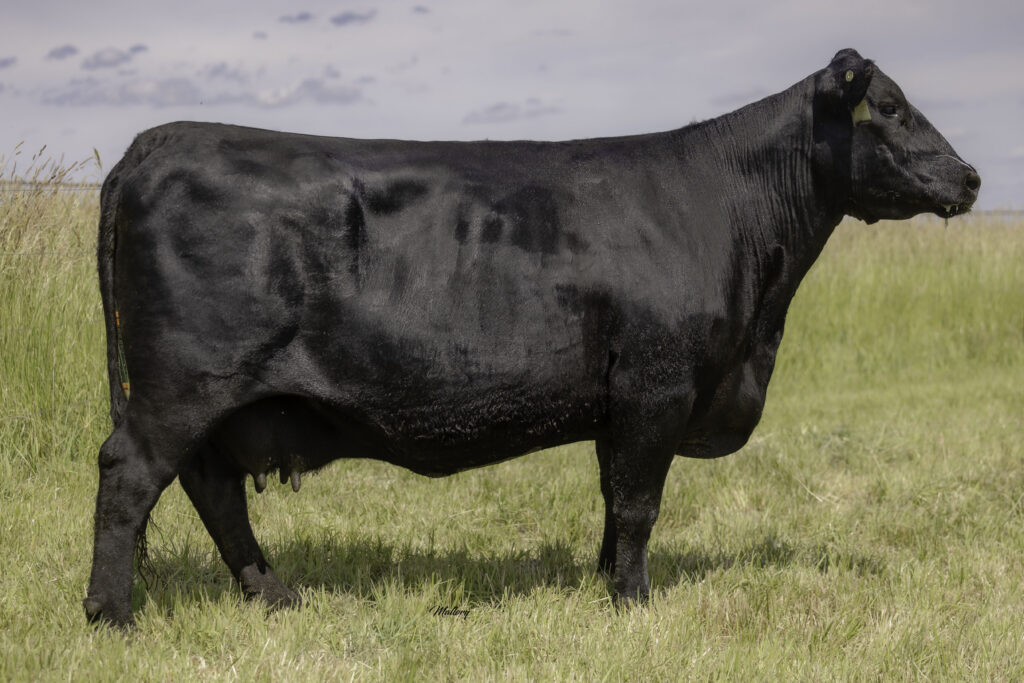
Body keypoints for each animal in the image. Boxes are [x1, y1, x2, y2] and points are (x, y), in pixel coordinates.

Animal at [83, 49, 979, 627]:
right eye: (889, 108)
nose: (970, 176)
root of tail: (158, 139)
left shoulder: (620, 402)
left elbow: (614, 500)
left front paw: (604, 582)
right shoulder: (657, 383)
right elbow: (641, 502)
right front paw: (636, 603)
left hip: (212, 398)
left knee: (213, 488)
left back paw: (274, 595)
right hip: (182, 385)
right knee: (132, 478)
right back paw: (112, 614)